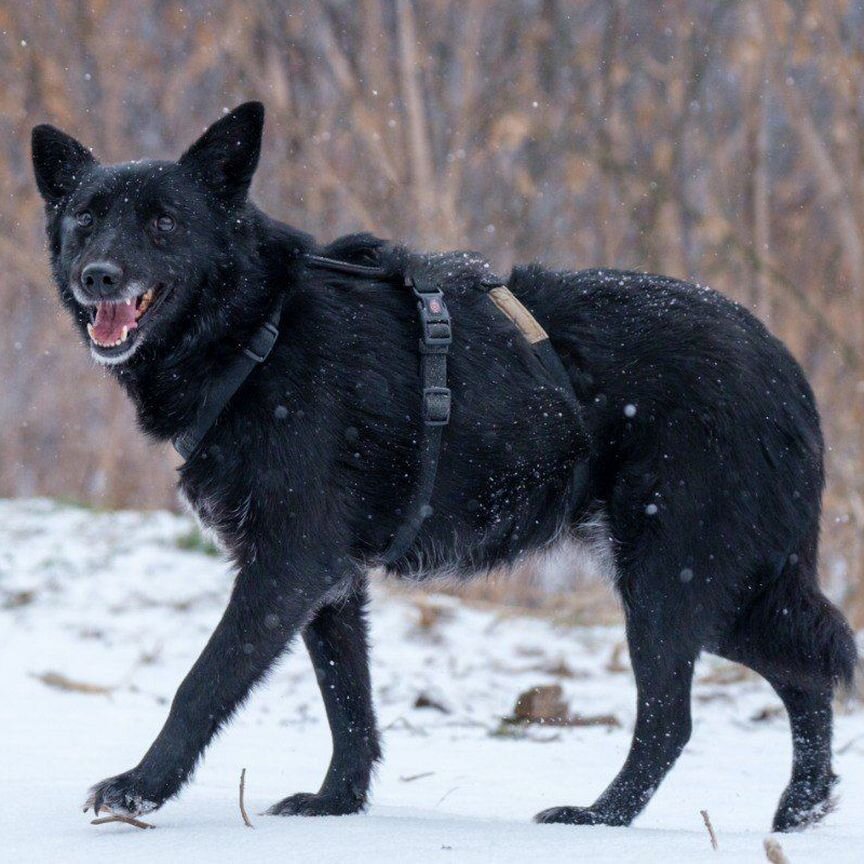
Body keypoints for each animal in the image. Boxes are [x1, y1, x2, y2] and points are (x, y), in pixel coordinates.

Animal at [30, 104, 852, 832]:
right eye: (85, 220)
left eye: (164, 222)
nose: (99, 276)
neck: (262, 328)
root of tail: (784, 366)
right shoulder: (328, 583)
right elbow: (348, 703)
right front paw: (336, 802)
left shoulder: (286, 567)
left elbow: (203, 683)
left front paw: (140, 788)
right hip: (723, 588)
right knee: (806, 671)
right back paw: (801, 808)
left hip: (671, 580)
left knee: (678, 716)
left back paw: (600, 817)